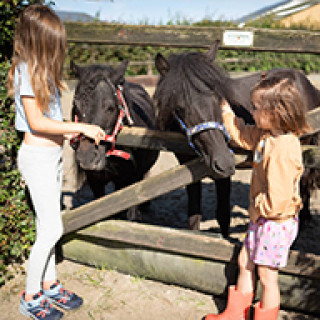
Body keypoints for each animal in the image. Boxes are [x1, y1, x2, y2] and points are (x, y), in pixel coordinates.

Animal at [154, 40, 320, 236]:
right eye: (179, 108)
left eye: (217, 98)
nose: (224, 161)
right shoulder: (188, 172)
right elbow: (194, 215)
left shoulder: (222, 174)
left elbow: (223, 214)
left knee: (304, 181)